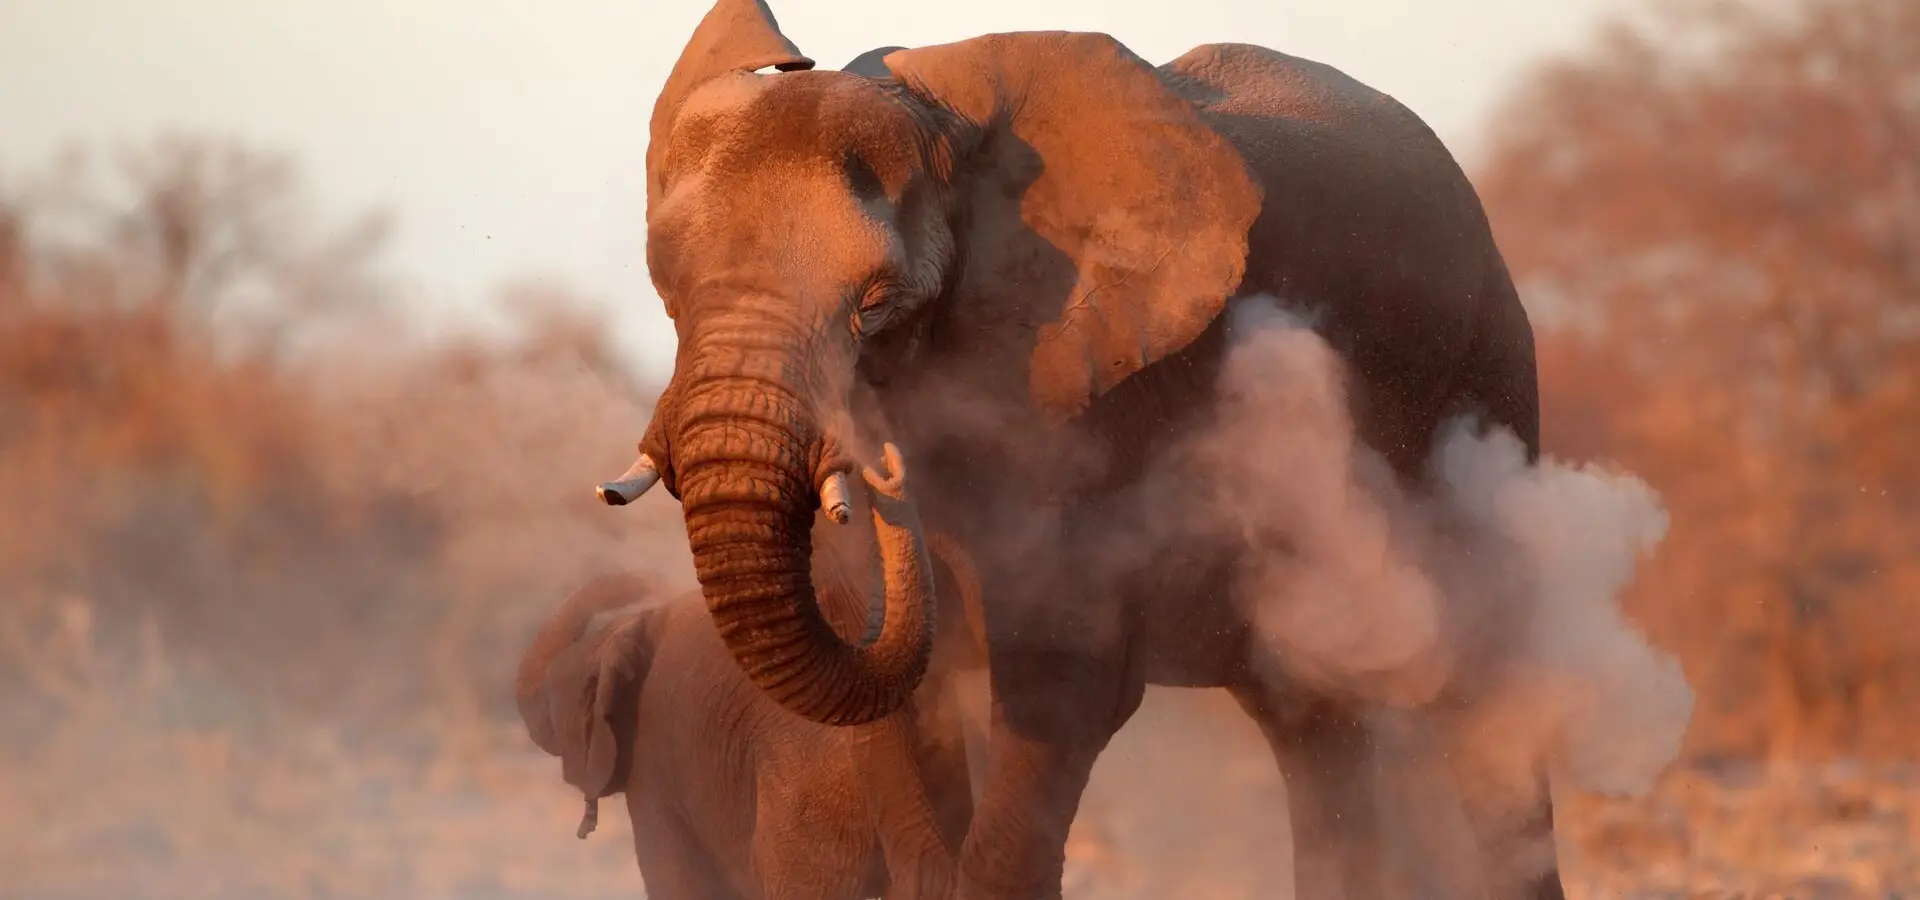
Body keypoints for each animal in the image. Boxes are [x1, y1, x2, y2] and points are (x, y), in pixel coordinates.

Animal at [598, 1, 1562, 898]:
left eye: (875, 305)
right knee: (1310, 720)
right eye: (669, 289)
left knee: (1488, 693)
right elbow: (894, 703)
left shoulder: (1095, 404)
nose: (885, 469)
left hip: (1483, 378)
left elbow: (1062, 680)